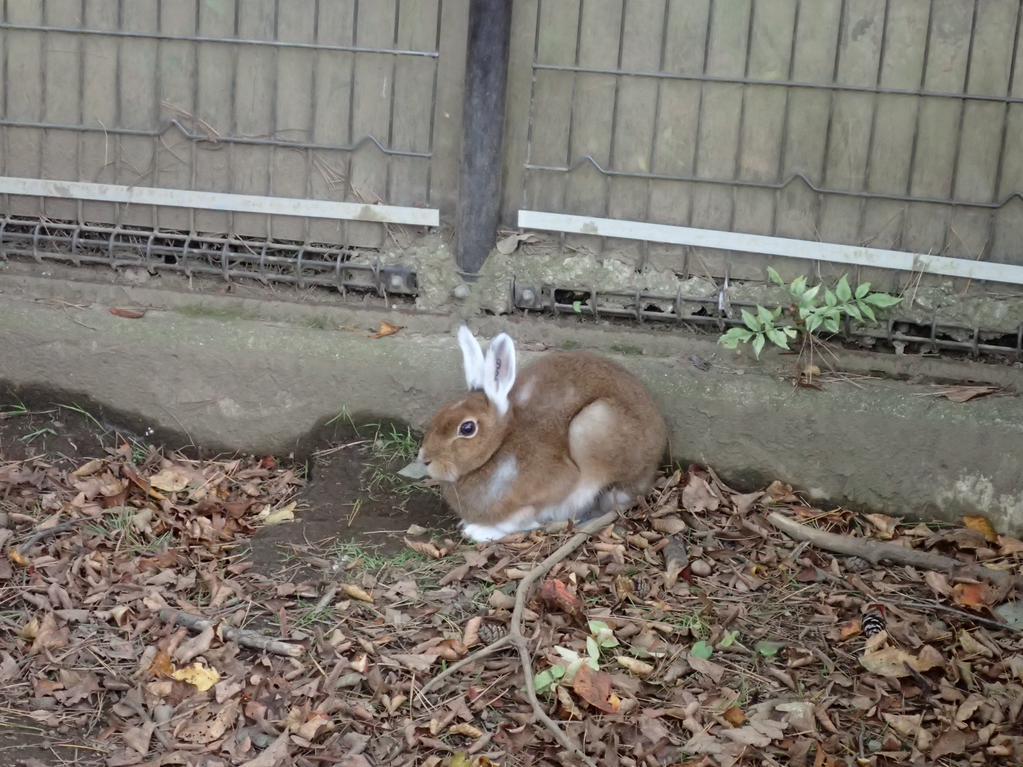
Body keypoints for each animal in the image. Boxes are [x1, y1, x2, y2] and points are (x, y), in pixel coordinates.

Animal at [418, 326, 668, 542]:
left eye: (467, 428)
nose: (425, 459)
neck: (500, 446)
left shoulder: (553, 488)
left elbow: (522, 520)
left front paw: (477, 530)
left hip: (592, 426)